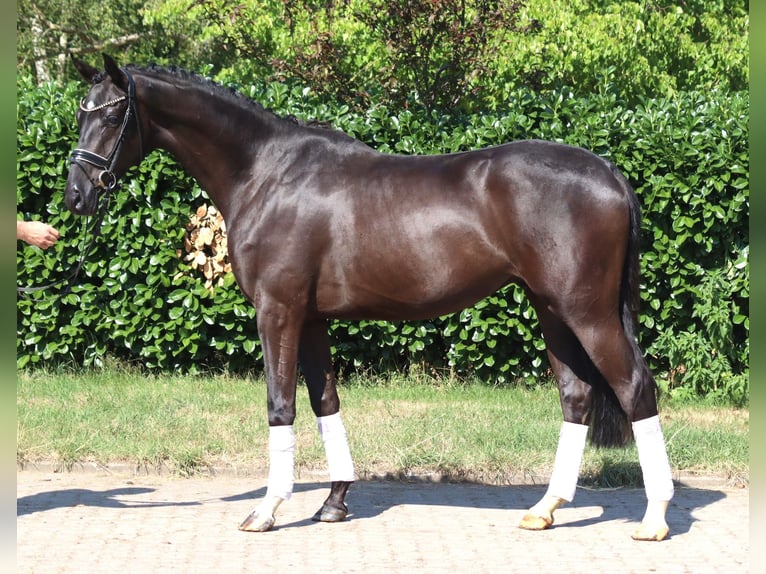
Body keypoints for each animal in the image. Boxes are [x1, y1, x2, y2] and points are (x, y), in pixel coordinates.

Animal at [64, 54, 674, 541]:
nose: (76, 194)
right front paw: (334, 503)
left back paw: (654, 519)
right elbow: (325, 401)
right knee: (576, 397)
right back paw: (545, 509)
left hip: (588, 312)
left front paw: (266, 510)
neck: (265, 173)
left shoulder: (278, 313)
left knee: (635, 388)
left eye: (113, 115)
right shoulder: (311, 319)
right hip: (553, 312)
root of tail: (610, 173)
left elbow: (281, 404)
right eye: (80, 112)